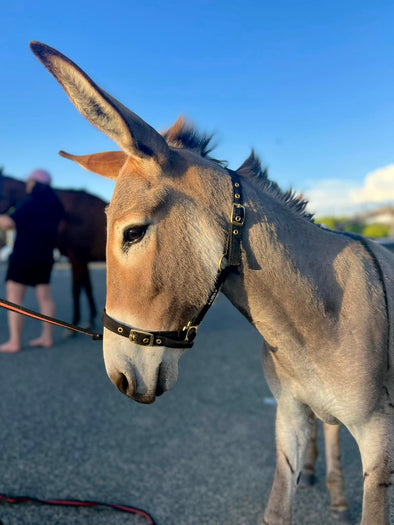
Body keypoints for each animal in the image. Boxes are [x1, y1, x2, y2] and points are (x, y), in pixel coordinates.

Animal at [30, 42, 394, 524]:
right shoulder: (289, 417)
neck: (315, 322)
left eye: (132, 233)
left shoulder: (379, 437)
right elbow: (277, 509)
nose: (120, 378)